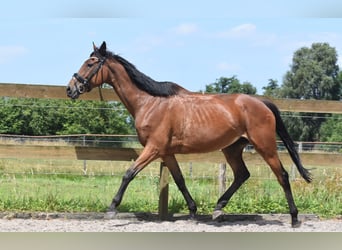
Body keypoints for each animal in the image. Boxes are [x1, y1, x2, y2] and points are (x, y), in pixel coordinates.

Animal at [65, 42, 312, 228]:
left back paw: (294, 217)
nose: (70, 89)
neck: (150, 103)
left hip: (265, 145)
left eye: (90, 63)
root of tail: (262, 102)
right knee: (242, 174)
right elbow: (180, 180)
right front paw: (193, 211)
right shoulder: (166, 153)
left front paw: (111, 209)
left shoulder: (153, 148)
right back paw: (217, 209)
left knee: (282, 175)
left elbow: (128, 174)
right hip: (232, 148)